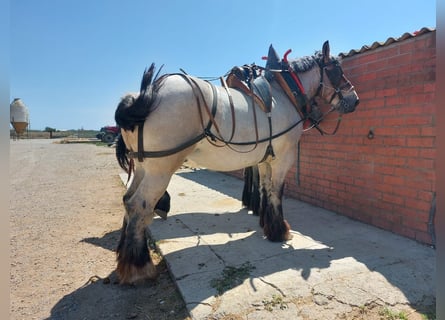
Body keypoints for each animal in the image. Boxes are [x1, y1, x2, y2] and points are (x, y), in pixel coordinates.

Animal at [113, 41, 358, 284]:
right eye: (337, 70)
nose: (355, 99)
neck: (285, 94)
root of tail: (146, 95)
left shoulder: (265, 159)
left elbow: (265, 189)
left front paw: (268, 226)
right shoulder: (282, 159)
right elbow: (277, 192)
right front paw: (280, 231)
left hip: (143, 167)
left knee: (127, 200)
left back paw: (124, 256)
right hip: (161, 169)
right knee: (139, 205)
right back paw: (139, 267)